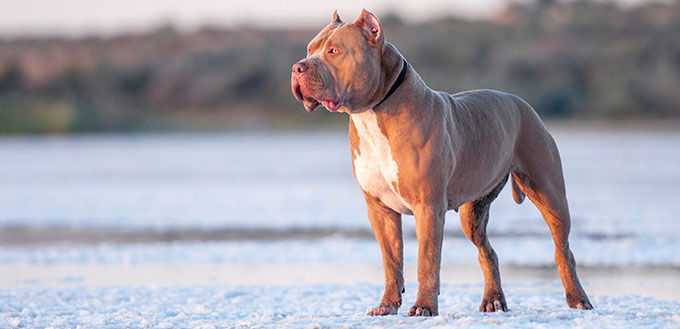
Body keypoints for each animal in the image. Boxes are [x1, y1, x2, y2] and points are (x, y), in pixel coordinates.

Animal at [290, 8, 592, 316]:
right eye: (310, 49)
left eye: (334, 51)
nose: (298, 68)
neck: (372, 113)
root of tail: (521, 102)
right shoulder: (380, 210)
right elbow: (391, 261)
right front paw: (386, 306)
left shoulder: (428, 207)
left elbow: (426, 261)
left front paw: (424, 307)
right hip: (474, 214)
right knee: (488, 252)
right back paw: (493, 300)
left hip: (550, 195)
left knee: (563, 250)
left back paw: (578, 299)